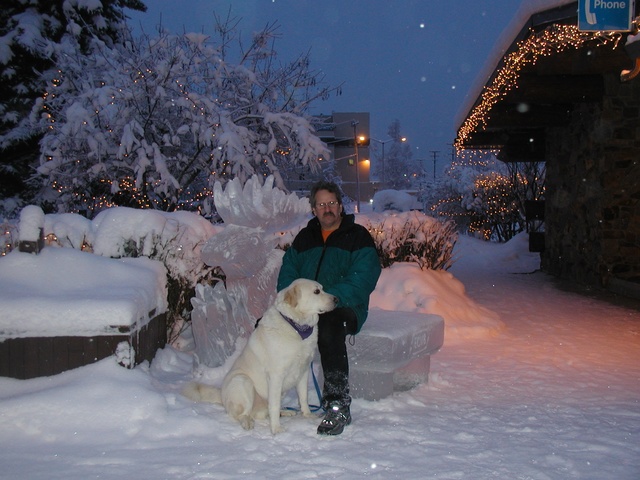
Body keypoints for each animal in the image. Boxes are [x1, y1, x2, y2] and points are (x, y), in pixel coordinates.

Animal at [183, 278, 337, 434]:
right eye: (316, 291)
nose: (336, 299)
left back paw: (285, 412)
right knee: (241, 414)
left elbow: (303, 397)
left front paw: (307, 415)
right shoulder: (276, 375)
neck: (297, 326)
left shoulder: (303, 372)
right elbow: (274, 405)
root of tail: (221, 395)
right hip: (243, 381)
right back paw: (248, 422)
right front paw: (276, 429)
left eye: (322, 289)